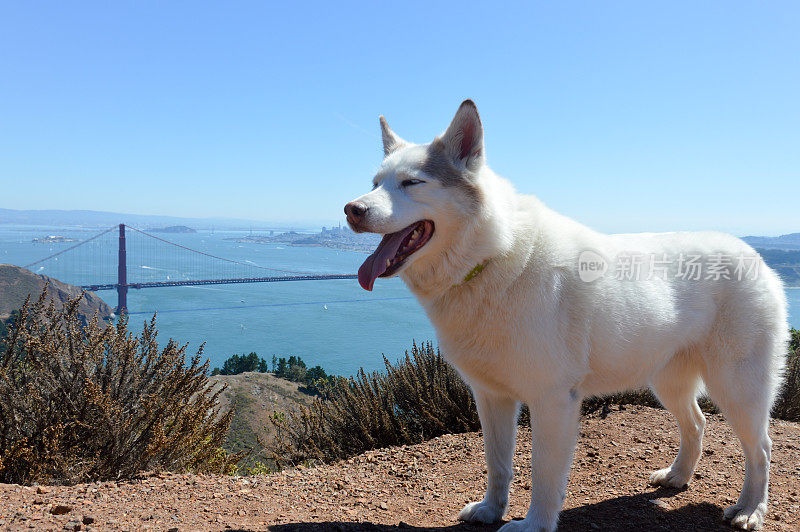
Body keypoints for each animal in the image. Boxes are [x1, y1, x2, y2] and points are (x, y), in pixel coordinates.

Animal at [344, 101, 788, 532]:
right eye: (375, 183)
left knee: (762, 449)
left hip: (738, 389)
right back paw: (678, 476)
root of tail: (755, 256)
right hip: (668, 382)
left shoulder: (552, 401)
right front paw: (490, 510)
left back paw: (751, 509)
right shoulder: (492, 398)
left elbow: (543, 474)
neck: (493, 257)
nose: (351, 209)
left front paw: (534, 525)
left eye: (411, 183)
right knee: (696, 424)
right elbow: (498, 464)